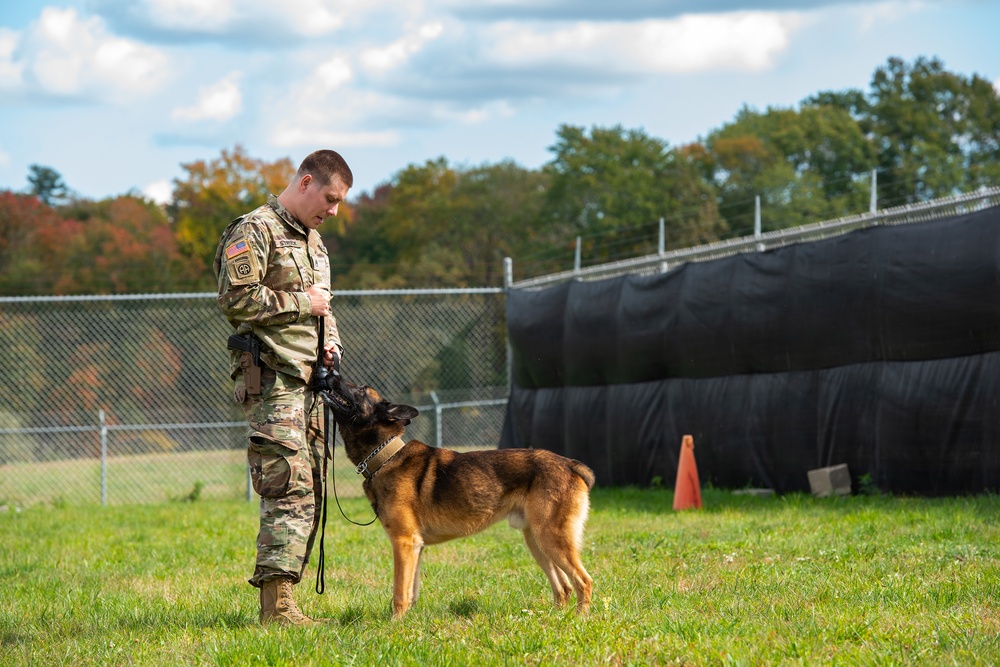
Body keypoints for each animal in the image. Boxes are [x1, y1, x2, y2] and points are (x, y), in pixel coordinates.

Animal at [324, 378, 592, 620]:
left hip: (552, 540)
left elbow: (399, 592)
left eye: (361, 390)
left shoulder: (403, 542)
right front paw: (407, 621)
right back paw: (555, 618)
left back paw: (580, 620)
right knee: (564, 588)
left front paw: (395, 625)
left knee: (584, 581)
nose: (330, 376)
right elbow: (411, 591)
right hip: (537, 542)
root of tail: (569, 464)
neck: (386, 456)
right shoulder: (416, 547)